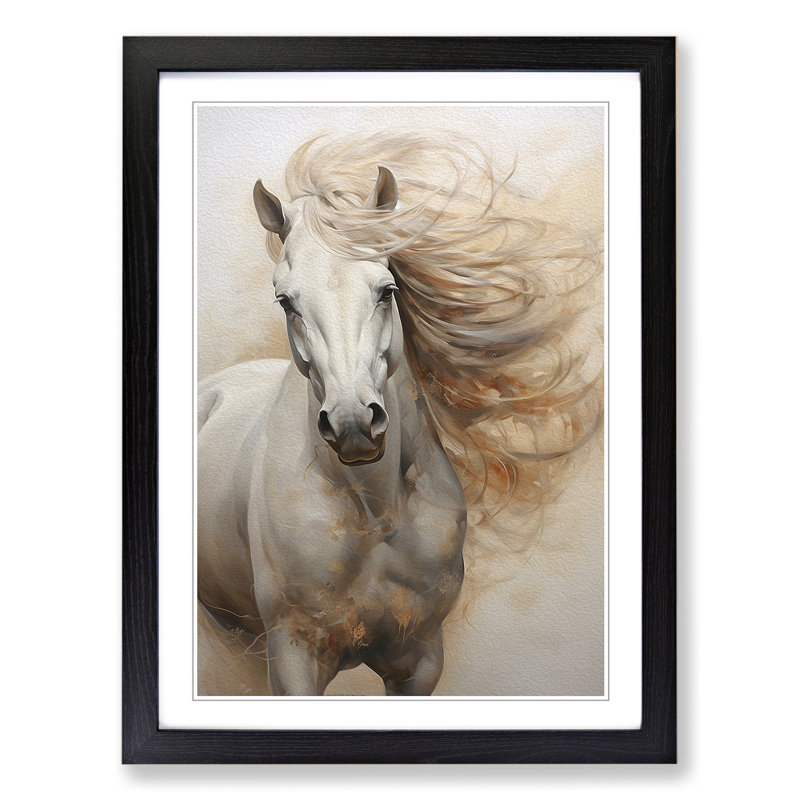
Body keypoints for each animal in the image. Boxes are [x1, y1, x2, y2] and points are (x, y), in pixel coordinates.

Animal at [197, 132, 603, 696]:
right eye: (285, 302)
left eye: (386, 290)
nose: (352, 425)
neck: (374, 512)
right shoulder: (295, 657)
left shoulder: (419, 659)